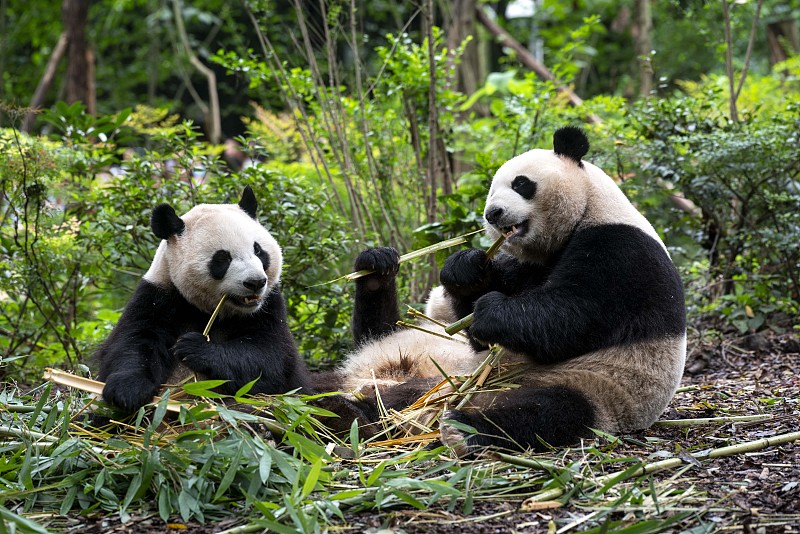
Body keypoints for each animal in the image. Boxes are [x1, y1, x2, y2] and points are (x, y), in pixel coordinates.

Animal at [95, 186, 311, 414]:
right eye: (223, 258)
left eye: (258, 250)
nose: (255, 282)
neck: (210, 311)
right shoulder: (158, 297)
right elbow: (134, 341)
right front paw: (126, 391)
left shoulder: (269, 307)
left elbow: (269, 357)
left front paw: (194, 347)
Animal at [330, 127, 686, 454]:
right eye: (490, 193)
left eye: (521, 184)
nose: (493, 214)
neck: (587, 210)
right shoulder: (527, 266)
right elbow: (476, 330)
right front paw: (465, 269)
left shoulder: (621, 251)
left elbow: (575, 315)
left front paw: (492, 312)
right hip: (438, 378)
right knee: (389, 387)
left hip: (593, 387)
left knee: (544, 412)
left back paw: (462, 428)